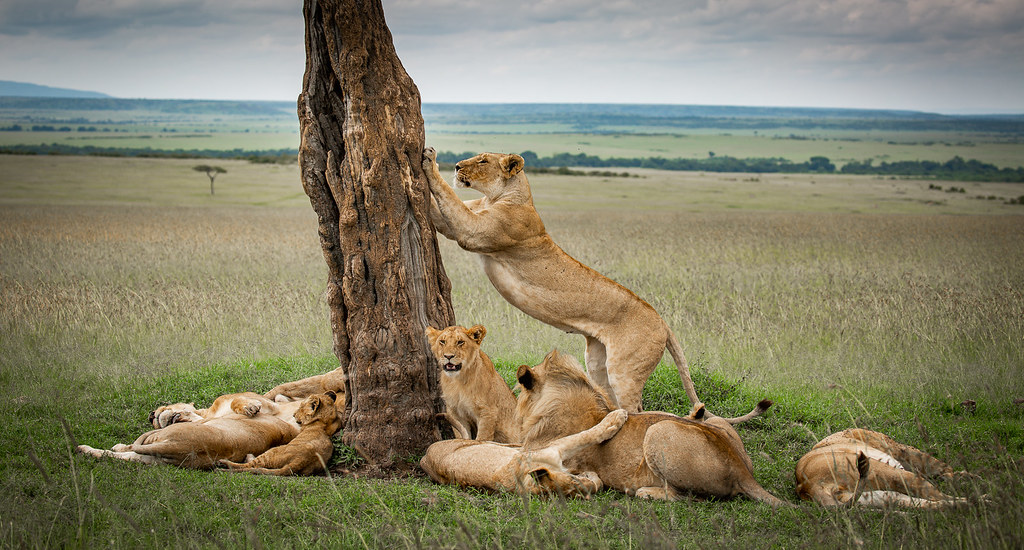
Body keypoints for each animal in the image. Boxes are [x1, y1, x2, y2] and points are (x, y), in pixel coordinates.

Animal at [419, 405, 626, 495]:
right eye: (574, 489)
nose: (585, 479)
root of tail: (425, 456)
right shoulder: (554, 449)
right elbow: (585, 436)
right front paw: (616, 418)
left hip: (497, 445)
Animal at [516, 350, 778, 503]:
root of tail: (742, 471)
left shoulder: (539, 452)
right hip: (714, 420)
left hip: (658, 431)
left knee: (686, 497)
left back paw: (645, 492)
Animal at [794, 426, 970, 508]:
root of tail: (808, 485)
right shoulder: (904, 451)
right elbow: (942, 467)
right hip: (890, 473)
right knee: (937, 496)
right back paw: (973, 500)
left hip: (881, 496)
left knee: (929, 504)